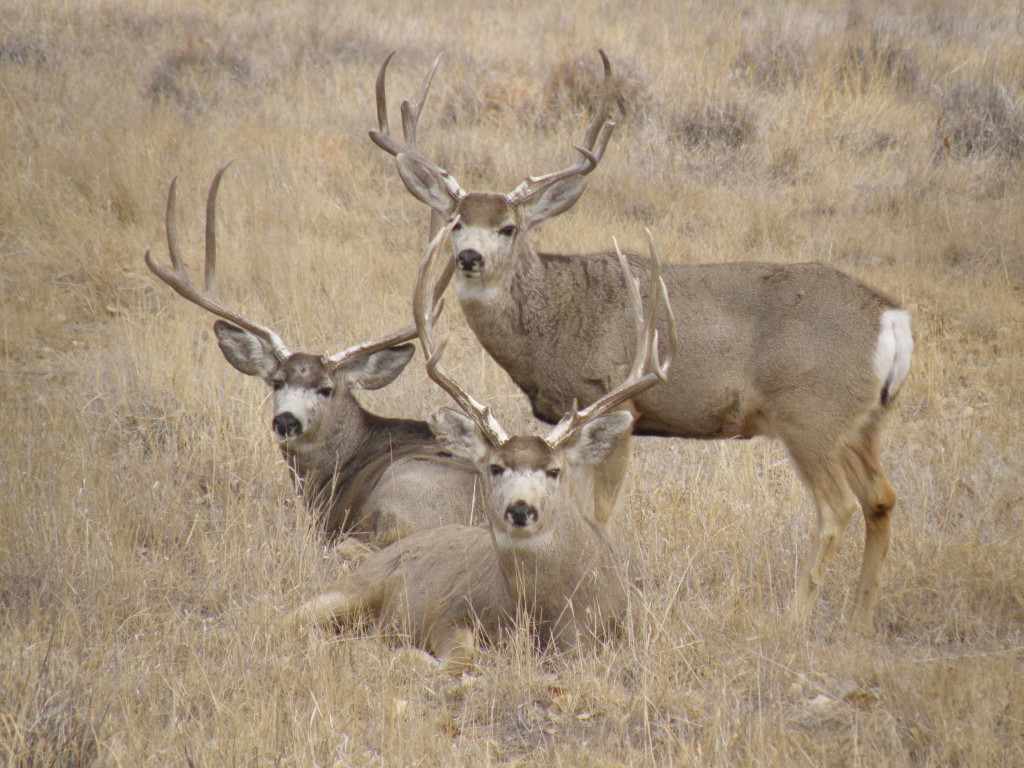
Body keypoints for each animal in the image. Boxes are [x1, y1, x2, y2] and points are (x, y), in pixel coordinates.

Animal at [288, 222, 675, 671]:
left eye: (555, 470)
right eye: (494, 467)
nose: (521, 509)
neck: (547, 615)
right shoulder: (451, 610)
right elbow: (458, 658)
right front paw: (403, 654)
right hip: (348, 588)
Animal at [372, 52, 917, 630]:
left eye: (508, 227)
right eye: (456, 222)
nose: (469, 257)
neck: (558, 317)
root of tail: (892, 319)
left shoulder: (616, 405)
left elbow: (597, 512)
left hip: (810, 416)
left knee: (837, 507)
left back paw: (795, 616)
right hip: (862, 423)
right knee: (882, 497)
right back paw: (859, 618)